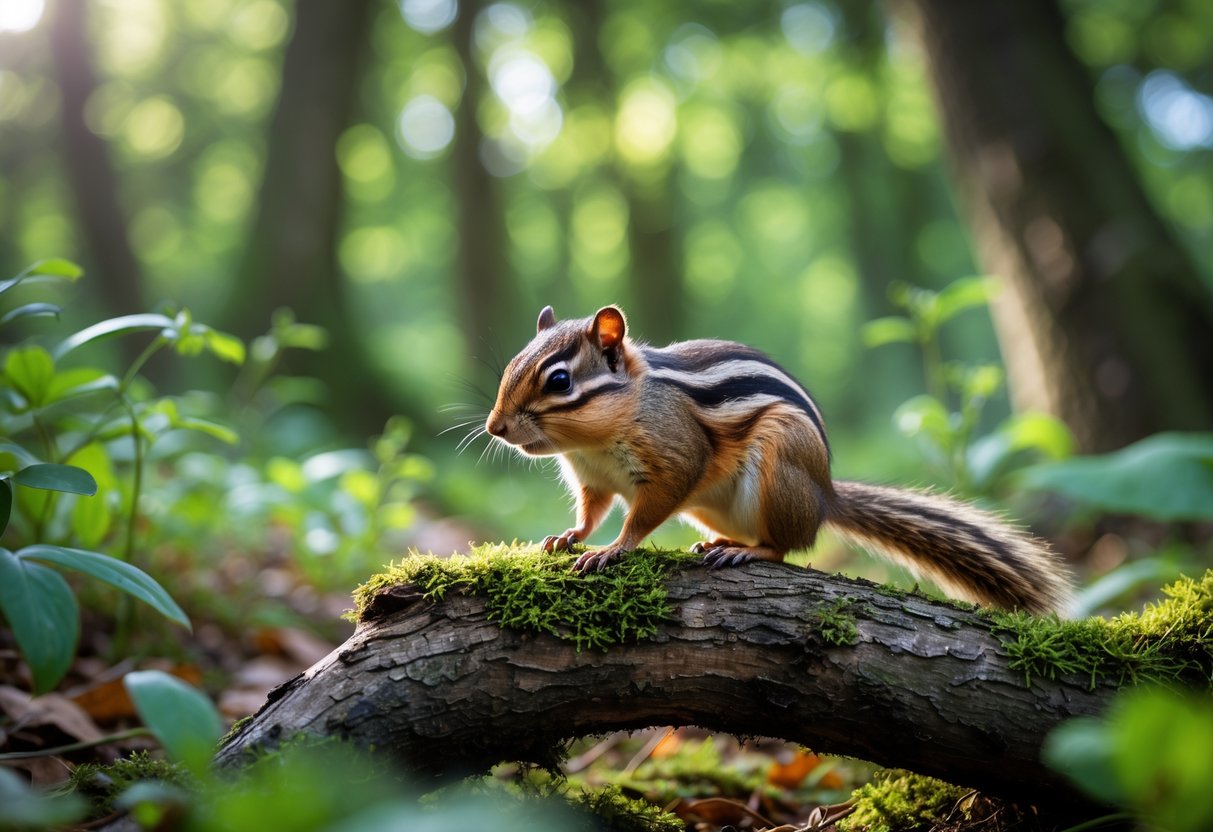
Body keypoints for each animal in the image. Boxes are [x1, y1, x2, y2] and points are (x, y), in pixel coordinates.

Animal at [485, 305, 1073, 615]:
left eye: (560, 381)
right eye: (511, 363)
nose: (495, 428)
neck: (594, 441)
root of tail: (824, 495)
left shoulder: (675, 458)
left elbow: (645, 512)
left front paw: (613, 549)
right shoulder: (593, 480)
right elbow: (591, 511)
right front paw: (569, 536)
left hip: (779, 464)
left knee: (787, 546)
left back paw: (747, 552)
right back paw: (721, 542)